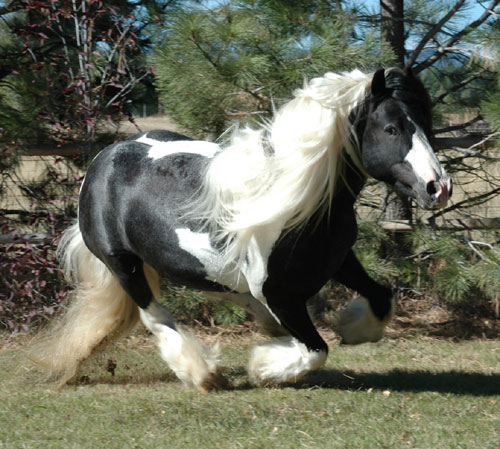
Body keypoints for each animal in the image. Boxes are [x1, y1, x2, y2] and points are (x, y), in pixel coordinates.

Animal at [33, 68, 452, 390]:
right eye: (391, 128)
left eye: (427, 123)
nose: (438, 187)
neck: (296, 203)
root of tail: (104, 159)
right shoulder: (281, 294)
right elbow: (316, 351)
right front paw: (263, 369)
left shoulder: (338, 261)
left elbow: (381, 297)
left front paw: (351, 329)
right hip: (124, 264)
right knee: (154, 316)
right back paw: (204, 375)